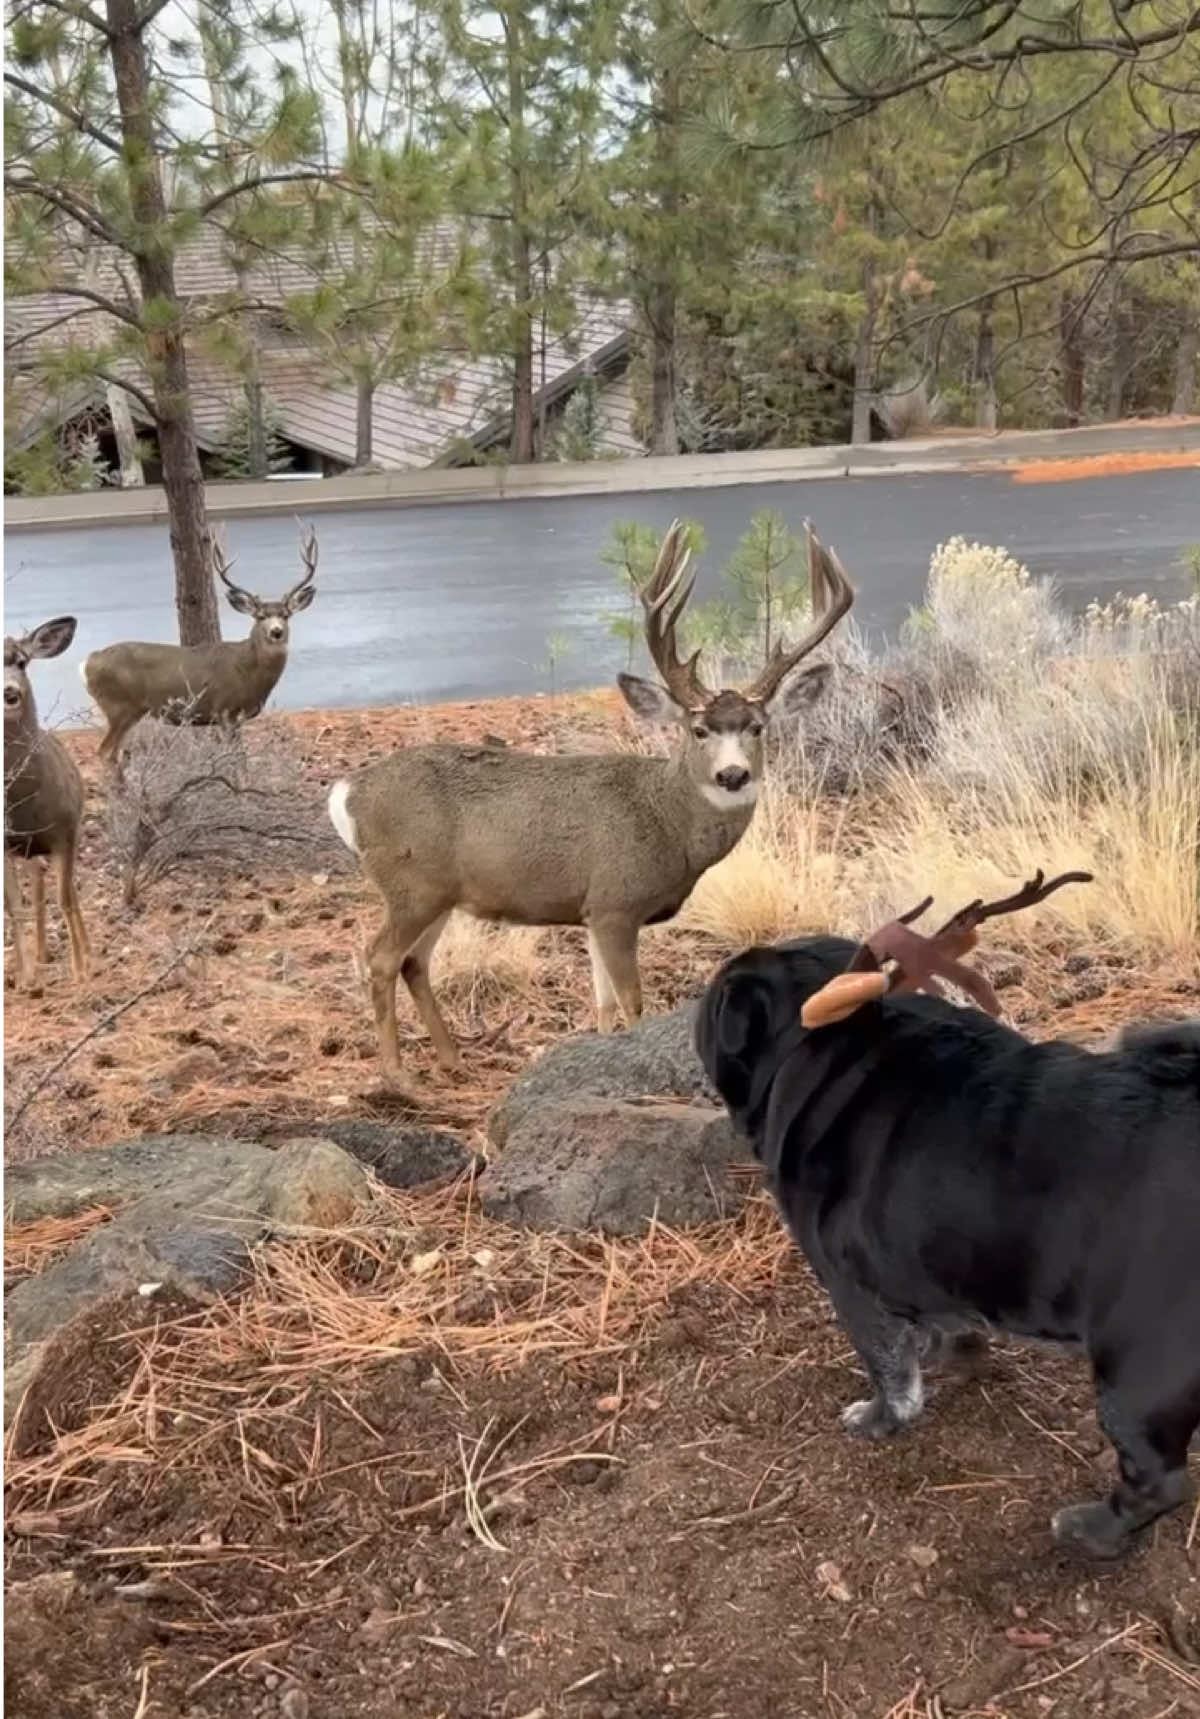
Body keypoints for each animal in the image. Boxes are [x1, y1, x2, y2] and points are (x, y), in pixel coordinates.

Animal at [697, 928, 1196, 1560]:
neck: (833, 1052)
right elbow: (947, 1327)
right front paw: (955, 1355)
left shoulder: (852, 1293)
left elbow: (891, 1375)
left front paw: (877, 1420)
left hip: (1137, 1371)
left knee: (1155, 1481)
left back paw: (1090, 1531)